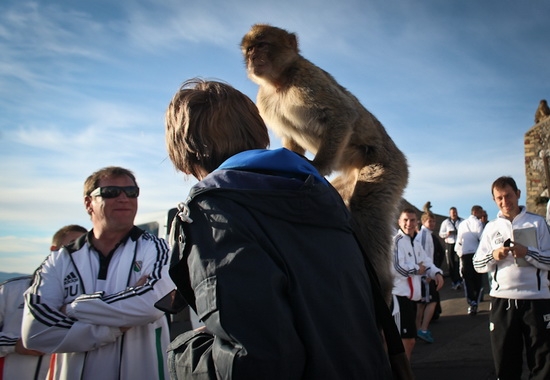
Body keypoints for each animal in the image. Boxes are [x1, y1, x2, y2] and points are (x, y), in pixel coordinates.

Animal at [242, 23, 410, 302]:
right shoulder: (265, 100)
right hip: (352, 177)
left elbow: (343, 114)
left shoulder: (308, 79)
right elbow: (292, 140)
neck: (280, 83)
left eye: (262, 45)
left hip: (388, 166)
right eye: (249, 49)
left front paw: (316, 167)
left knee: (365, 209)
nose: (252, 58)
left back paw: (384, 285)